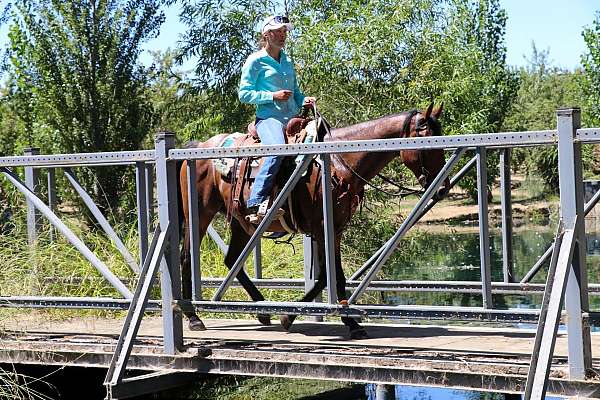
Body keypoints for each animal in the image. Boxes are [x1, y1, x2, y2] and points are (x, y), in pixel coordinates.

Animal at [179, 102, 450, 338]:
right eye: (428, 144)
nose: (443, 188)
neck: (339, 162)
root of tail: (199, 145)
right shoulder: (321, 229)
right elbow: (330, 276)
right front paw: (341, 322)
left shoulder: (335, 229)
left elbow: (331, 276)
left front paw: (310, 318)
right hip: (200, 215)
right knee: (187, 257)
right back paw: (193, 316)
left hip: (241, 222)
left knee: (232, 259)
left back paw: (263, 310)